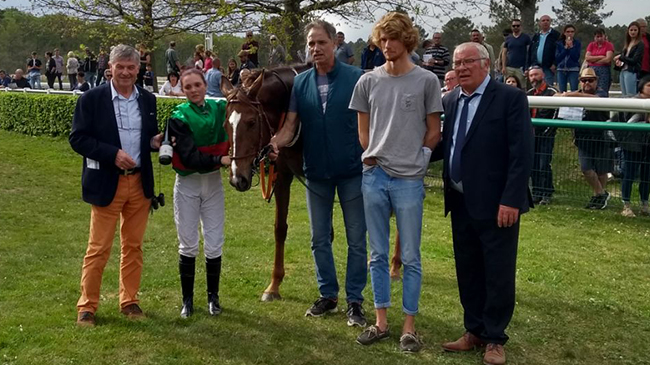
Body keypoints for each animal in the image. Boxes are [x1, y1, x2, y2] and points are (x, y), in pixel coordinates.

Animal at [218, 65, 400, 302]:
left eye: (251, 122)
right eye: (225, 124)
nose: (237, 178)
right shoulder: (284, 176)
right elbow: (280, 229)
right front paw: (274, 286)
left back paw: (395, 267)